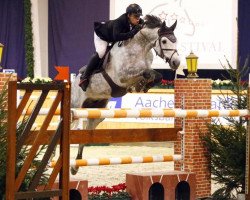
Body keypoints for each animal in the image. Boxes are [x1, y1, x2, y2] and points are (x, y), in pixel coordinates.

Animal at [70, 14, 180, 174]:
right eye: (164, 40)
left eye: (176, 40)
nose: (176, 62)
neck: (140, 48)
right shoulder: (123, 76)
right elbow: (147, 72)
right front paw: (140, 85)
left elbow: (155, 75)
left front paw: (142, 86)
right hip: (76, 106)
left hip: (97, 112)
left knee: (86, 133)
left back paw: (75, 165)